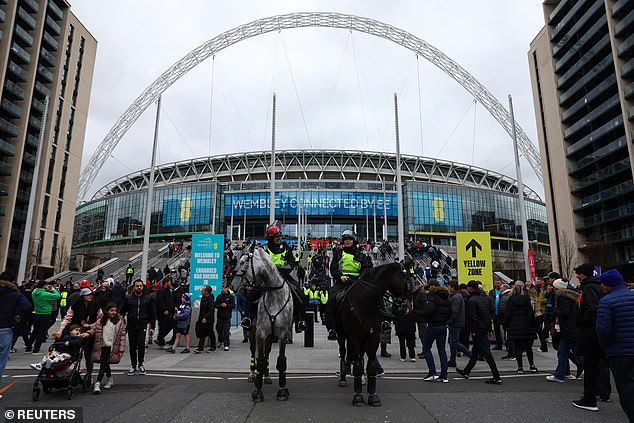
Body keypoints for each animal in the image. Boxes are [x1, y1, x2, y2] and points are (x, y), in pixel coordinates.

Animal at [231, 243, 292, 402]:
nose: (232, 286)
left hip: (271, 336)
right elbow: (260, 359)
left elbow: (280, 360)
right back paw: (253, 374)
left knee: (267, 353)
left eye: (244, 262)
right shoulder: (260, 331)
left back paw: (267, 375)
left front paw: (282, 390)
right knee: (255, 352)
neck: (274, 295)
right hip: (253, 331)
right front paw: (258, 391)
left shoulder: (282, 334)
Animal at [334, 260, 412, 410]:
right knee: (344, 353)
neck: (365, 303)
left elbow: (370, 366)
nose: (409, 306)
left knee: (359, 357)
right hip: (342, 335)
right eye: (408, 279)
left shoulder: (373, 336)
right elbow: (357, 367)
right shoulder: (354, 337)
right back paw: (343, 379)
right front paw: (358, 397)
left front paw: (372, 396)